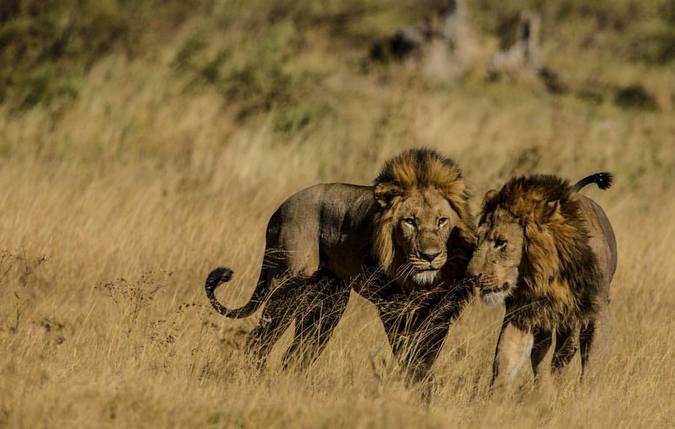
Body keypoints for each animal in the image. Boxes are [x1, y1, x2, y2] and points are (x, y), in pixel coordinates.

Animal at [206, 148, 476, 384]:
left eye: (442, 221)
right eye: (410, 222)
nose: (430, 256)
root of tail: (279, 210)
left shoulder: (440, 313)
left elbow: (426, 356)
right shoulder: (392, 307)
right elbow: (408, 355)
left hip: (328, 303)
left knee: (297, 353)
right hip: (288, 286)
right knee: (260, 340)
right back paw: (256, 380)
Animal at [470, 171, 616, 388]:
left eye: (501, 242)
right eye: (477, 239)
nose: (471, 275)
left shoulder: (596, 311)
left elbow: (593, 365)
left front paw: (588, 394)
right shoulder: (522, 314)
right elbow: (504, 359)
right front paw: (495, 395)